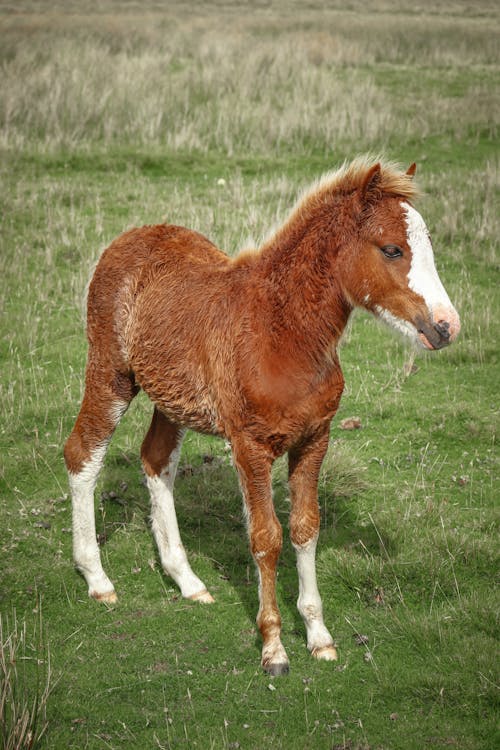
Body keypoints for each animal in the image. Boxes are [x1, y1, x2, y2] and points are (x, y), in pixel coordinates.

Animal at [64, 159, 458, 676]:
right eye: (392, 249)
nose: (447, 327)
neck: (282, 331)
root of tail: (130, 237)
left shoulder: (315, 439)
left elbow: (306, 528)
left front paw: (319, 636)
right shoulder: (250, 446)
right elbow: (266, 537)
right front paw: (273, 648)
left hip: (172, 397)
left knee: (156, 461)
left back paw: (187, 580)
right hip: (111, 374)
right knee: (83, 455)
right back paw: (97, 579)